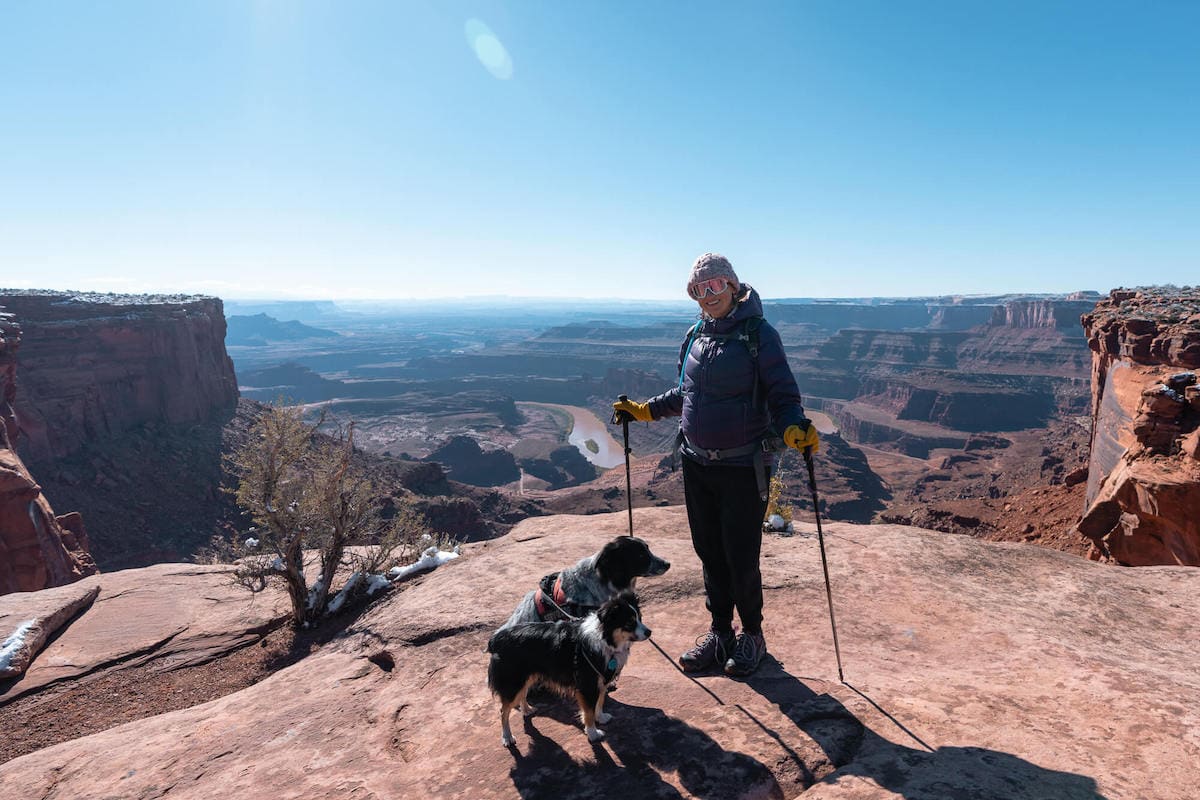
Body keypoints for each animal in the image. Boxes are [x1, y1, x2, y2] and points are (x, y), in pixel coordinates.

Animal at [484, 592, 652, 748]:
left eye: (640, 618)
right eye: (629, 622)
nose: (649, 632)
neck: (605, 639)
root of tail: (495, 639)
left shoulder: (600, 679)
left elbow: (600, 701)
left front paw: (601, 717)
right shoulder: (587, 684)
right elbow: (588, 712)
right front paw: (593, 733)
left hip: (526, 676)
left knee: (522, 694)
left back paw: (527, 710)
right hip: (513, 680)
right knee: (504, 711)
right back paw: (507, 737)